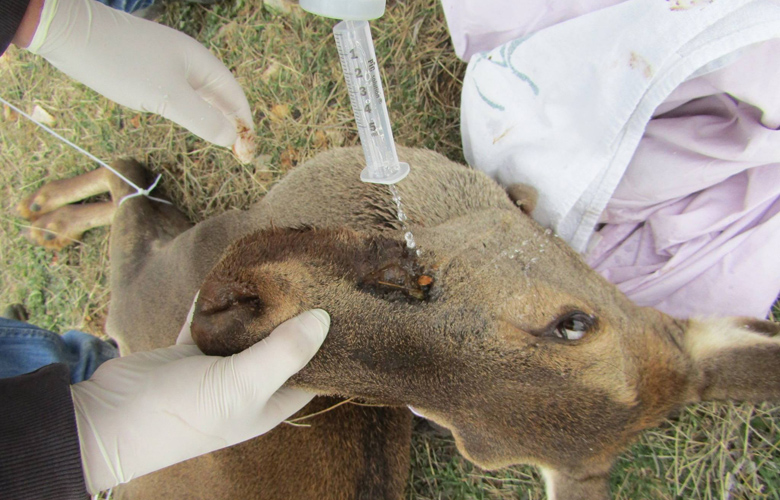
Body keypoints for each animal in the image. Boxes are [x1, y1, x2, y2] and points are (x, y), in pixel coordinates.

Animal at [13, 147, 780, 500]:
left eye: (435, 425)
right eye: (570, 322)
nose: (233, 306)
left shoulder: (150, 286)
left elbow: (128, 174)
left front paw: (44, 213)